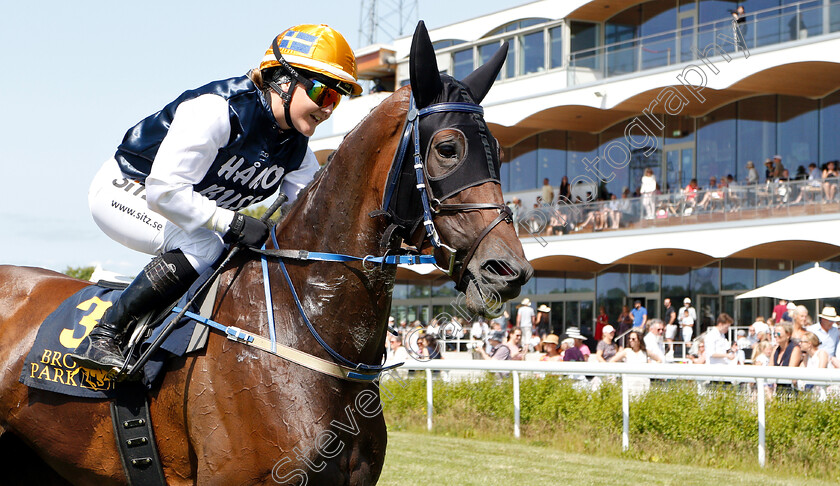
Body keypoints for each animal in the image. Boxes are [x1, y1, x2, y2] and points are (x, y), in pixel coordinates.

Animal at [0, 20, 532, 484]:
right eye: (447, 148)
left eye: (498, 150)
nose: (508, 270)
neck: (310, 333)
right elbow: (173, 189)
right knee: (191, 244)